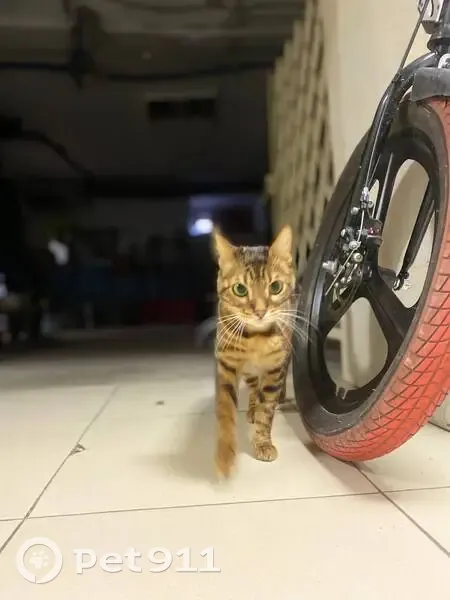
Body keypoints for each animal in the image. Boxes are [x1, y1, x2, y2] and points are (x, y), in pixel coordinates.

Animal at [213, 225, 296, 477]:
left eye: (275, 287)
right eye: (240, 289)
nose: (260, 312)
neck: (256, 340)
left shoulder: (275, 369)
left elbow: (266, 411)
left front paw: (262, 443)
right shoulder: (227, 364)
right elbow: (226, 411)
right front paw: (225, 455)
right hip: (248, 372)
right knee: (252, 388)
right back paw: (250, 409)